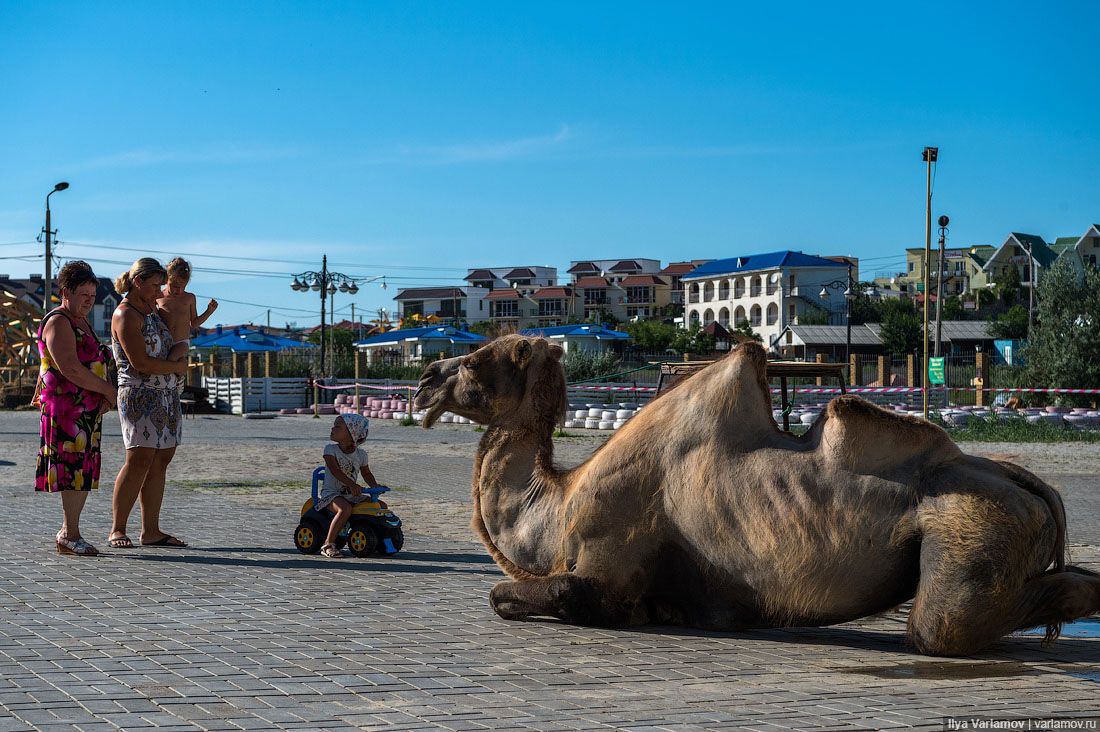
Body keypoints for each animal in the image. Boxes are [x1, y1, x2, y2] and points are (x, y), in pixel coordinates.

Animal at [413, 334, 1100, 651]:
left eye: (473, 363)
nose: (422, 382)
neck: (557, 505)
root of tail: (1029, 484)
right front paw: (668, 611)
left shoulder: (608, 561)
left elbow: (519, 594)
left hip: (971, 525)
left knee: (938, 629)